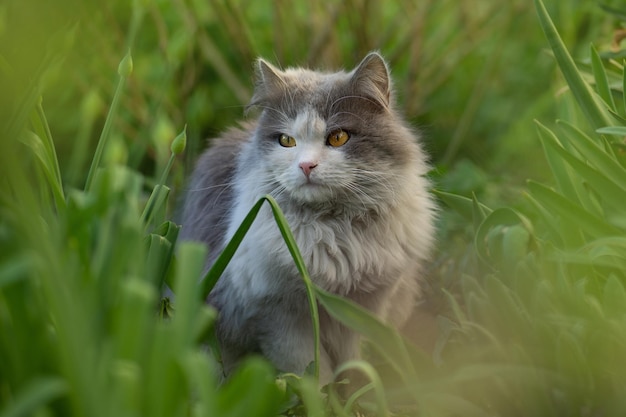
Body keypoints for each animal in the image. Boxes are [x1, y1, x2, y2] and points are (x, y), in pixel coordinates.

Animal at [179, 52, 434, 384]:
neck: (331, 230)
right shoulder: (279, 315)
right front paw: (321, 395)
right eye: (286, 141)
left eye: (338, 137)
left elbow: (356, 367)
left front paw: (360, 394)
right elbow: (311, 372)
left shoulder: (365, 309)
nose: (306, 166)